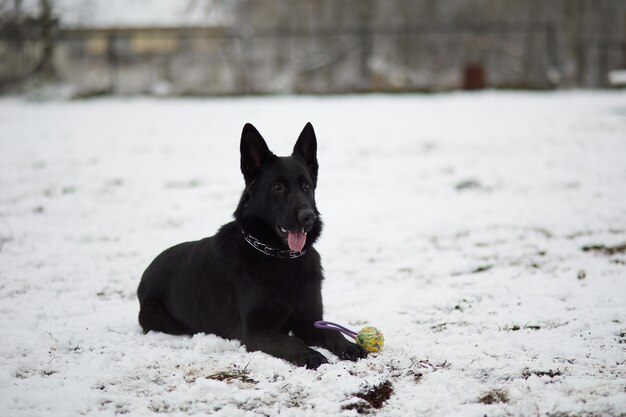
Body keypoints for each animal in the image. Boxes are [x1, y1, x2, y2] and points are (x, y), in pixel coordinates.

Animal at [134, 122, 364, 366]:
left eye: (306, 186)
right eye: (277, 187)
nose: (308, 217)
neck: (278, 257)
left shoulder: (309, 322)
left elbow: (332, 332)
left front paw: (348, 346)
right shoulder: (255, 332)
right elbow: (291, 341)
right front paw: (310, 354)